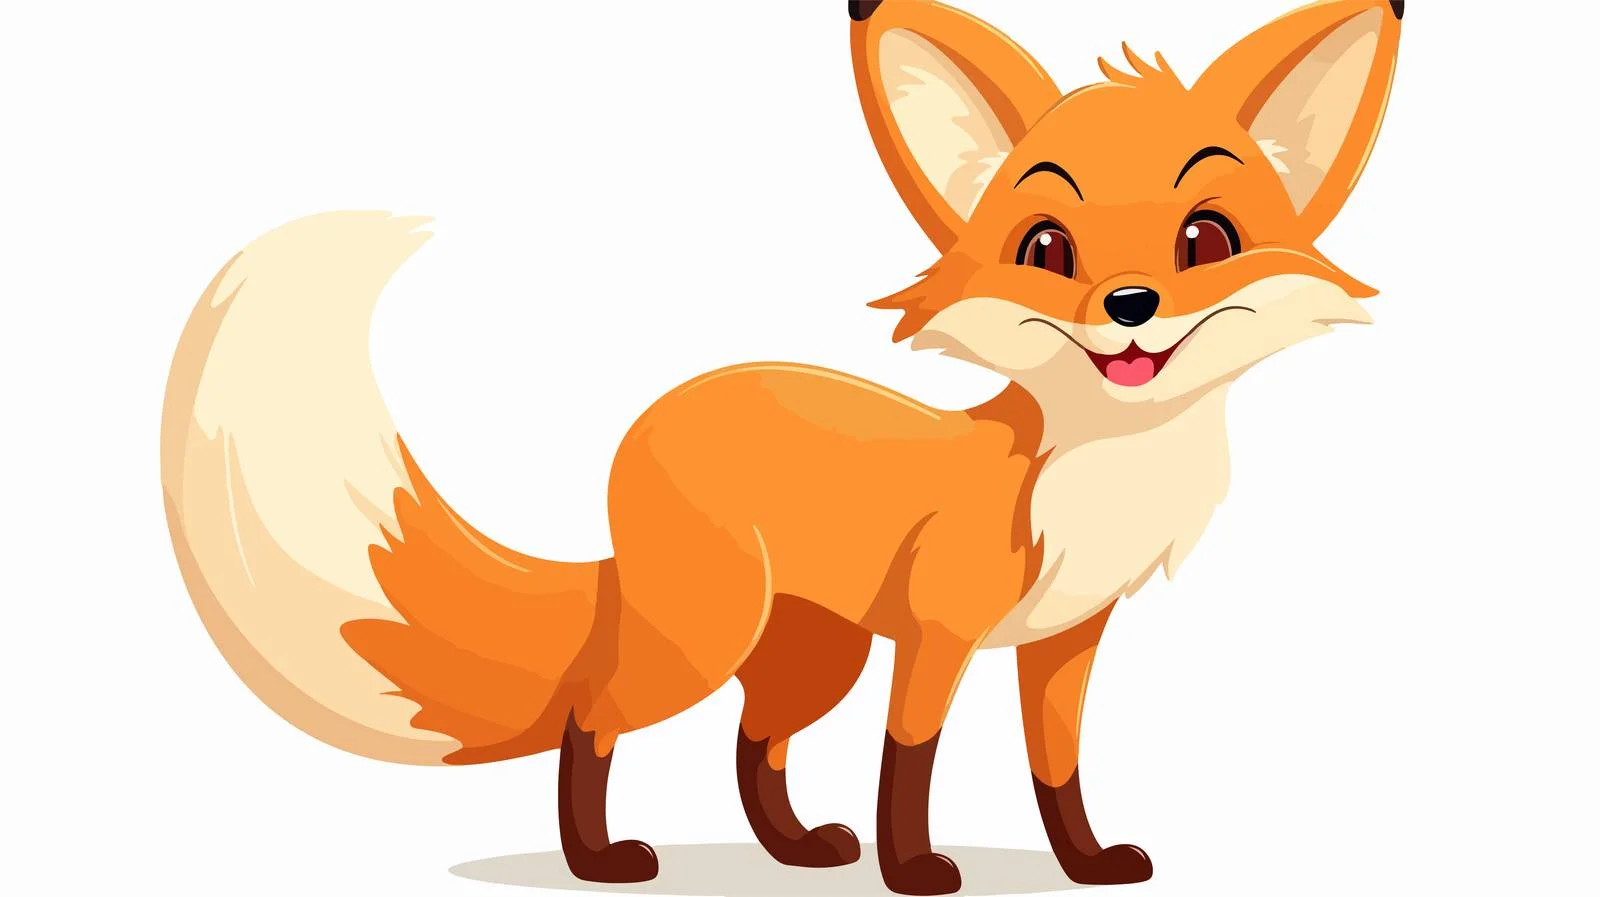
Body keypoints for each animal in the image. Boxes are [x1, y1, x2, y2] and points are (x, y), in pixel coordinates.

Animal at [160, 1, 1403, 893]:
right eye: (1046, 247)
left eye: (1207, 237)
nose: (1132, 306)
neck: (1093, 475)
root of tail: (659, 413)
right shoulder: (939, 633)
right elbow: (911, 759)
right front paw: (916, 872)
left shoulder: (1064, 643)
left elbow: (1058, 772)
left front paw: (1087, 865)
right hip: (708, 638)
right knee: (594, 711)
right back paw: (599, 863)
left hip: (811, 653)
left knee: (753, 744)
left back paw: (796, 849)